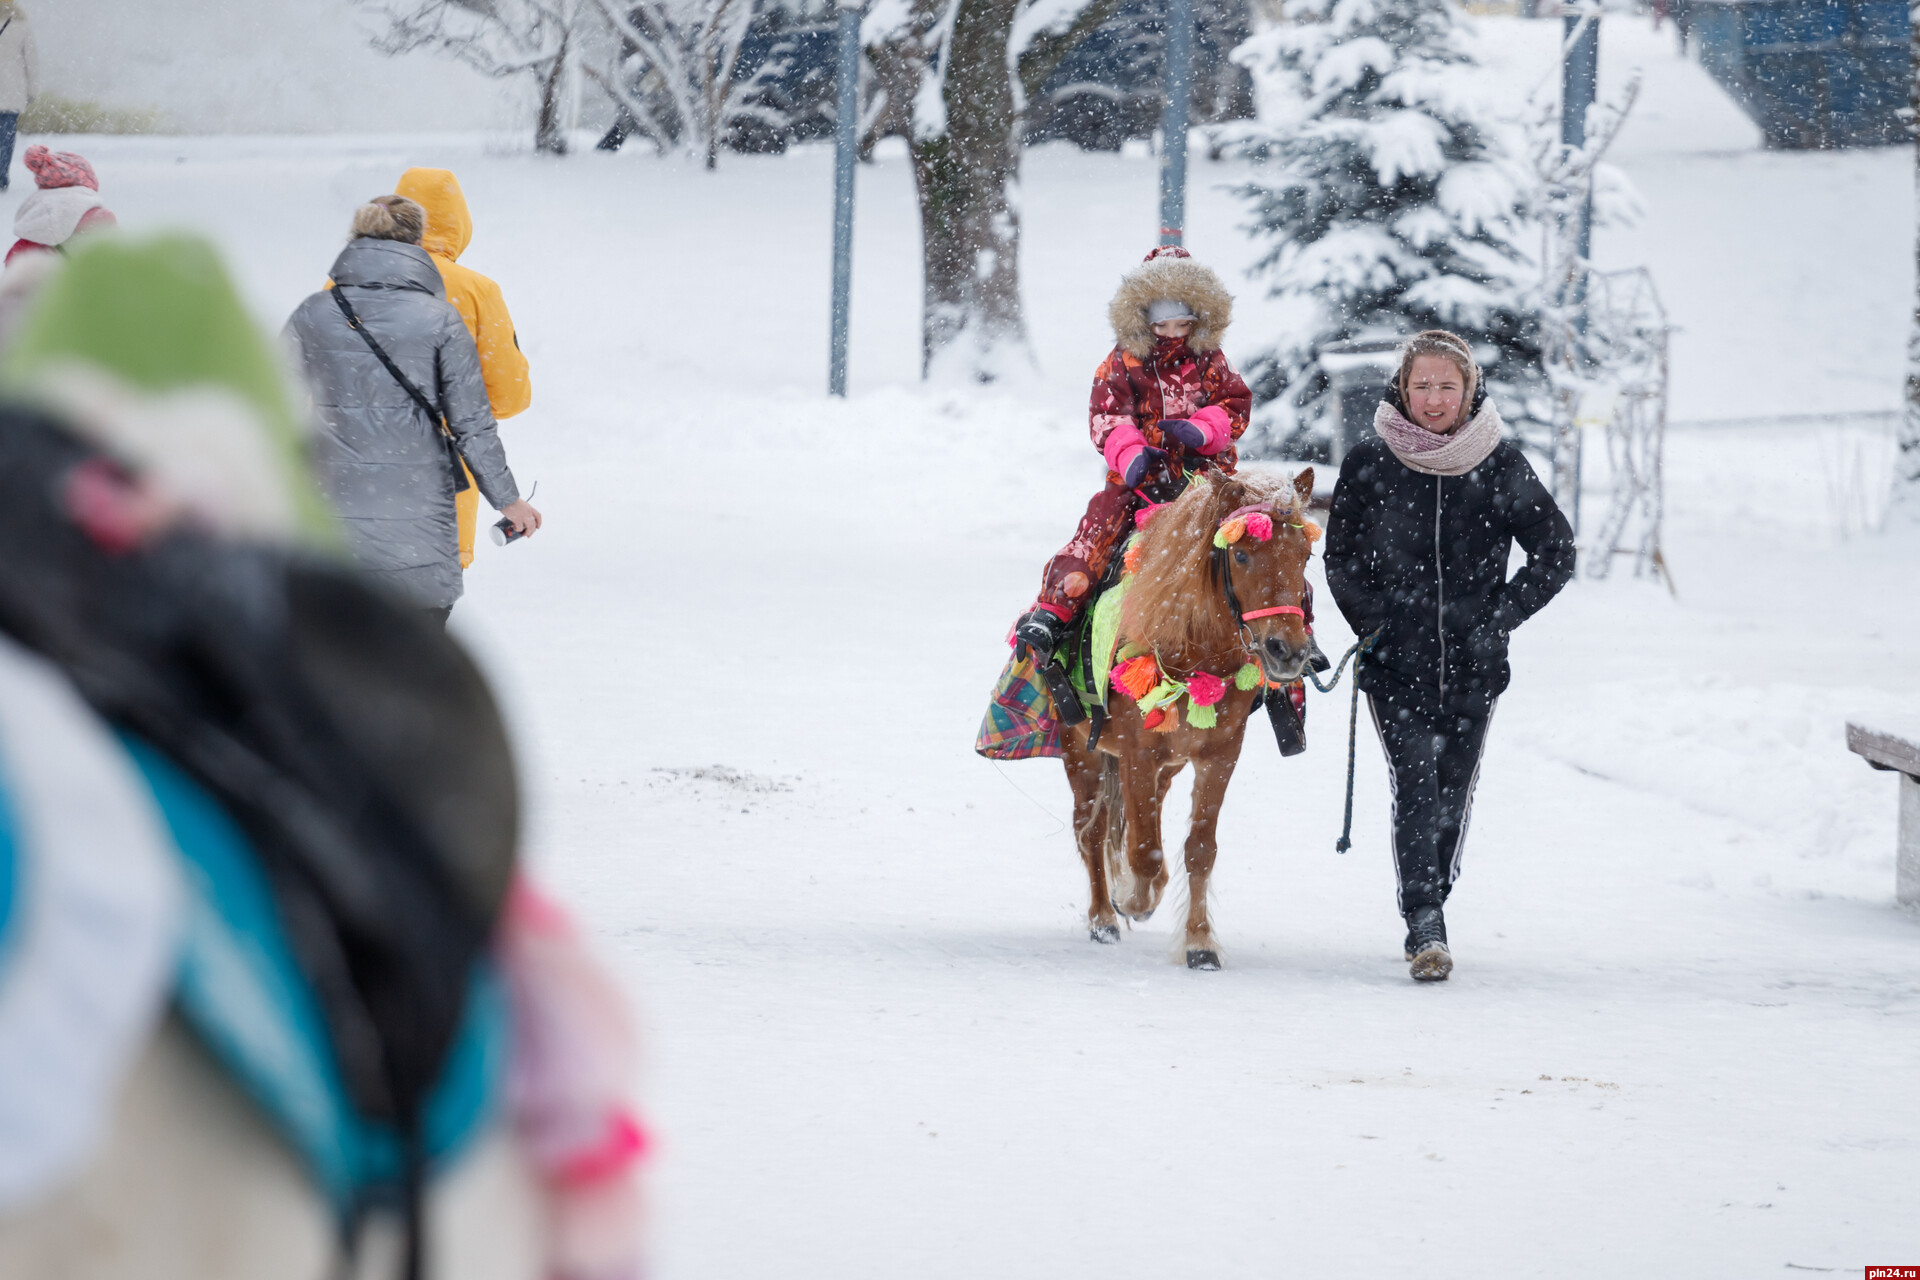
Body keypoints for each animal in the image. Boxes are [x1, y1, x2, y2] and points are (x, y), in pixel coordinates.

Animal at [1067, 468, 1320, 971]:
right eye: (1240, 554)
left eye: (1305, 555)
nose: (1288, 650)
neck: (1193, 647)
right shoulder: (1138, 754)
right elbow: (1142, 853)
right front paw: (1133, 899)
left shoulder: (1219, 756)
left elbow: (1199, 850)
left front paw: (1199, 942)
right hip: (1079, 753)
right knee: (1092, 829)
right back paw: (1103, 916)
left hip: (1166, 766)